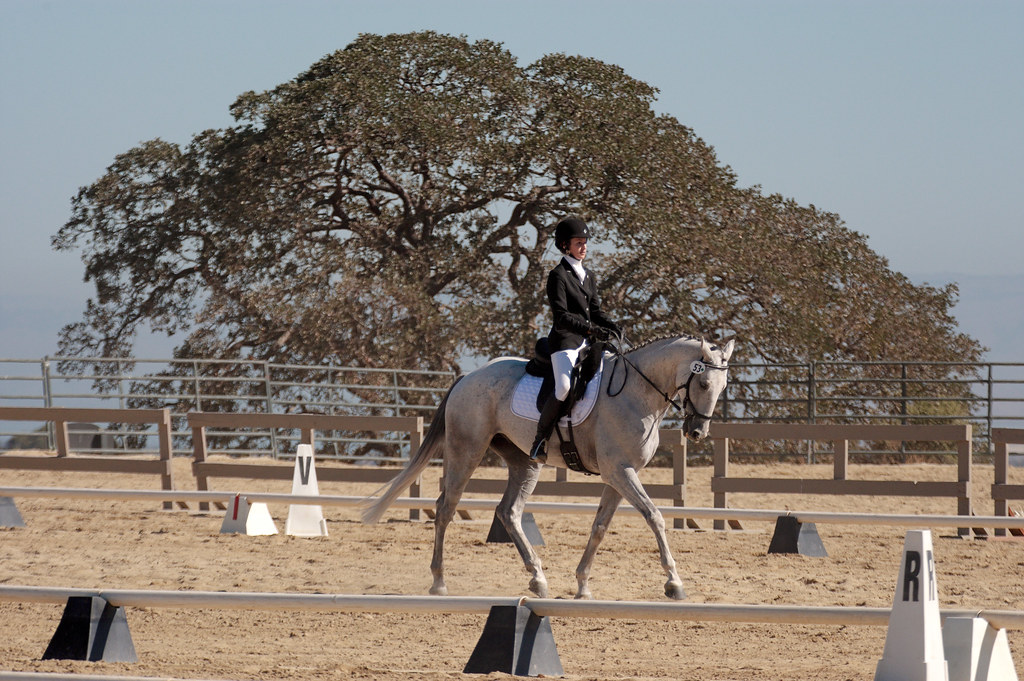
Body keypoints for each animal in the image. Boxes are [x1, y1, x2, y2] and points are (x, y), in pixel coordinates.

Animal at [362, 334, 735, 600]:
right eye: (703, 384)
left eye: (722, 386)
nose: (697, 432)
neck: (637, 392)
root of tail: (468, 377)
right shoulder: (620, 472)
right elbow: (654, 516)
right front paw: (674, 582)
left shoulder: (619, 476)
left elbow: (600, 527)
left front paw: (582, 584)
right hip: (466, 450)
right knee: (445, 508)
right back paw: (439, 581)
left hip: (525, 462)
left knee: (509, 511)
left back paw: (537, 578)